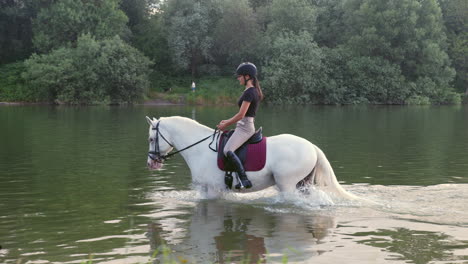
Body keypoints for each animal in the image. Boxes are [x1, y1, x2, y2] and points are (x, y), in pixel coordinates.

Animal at [146, 116, 358, 200]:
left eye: (151, 139)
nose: (151, 164)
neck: (199, 148)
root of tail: (311, 146)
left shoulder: (213, 190)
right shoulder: (208, 191)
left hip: (288, 184)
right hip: (302, 184)